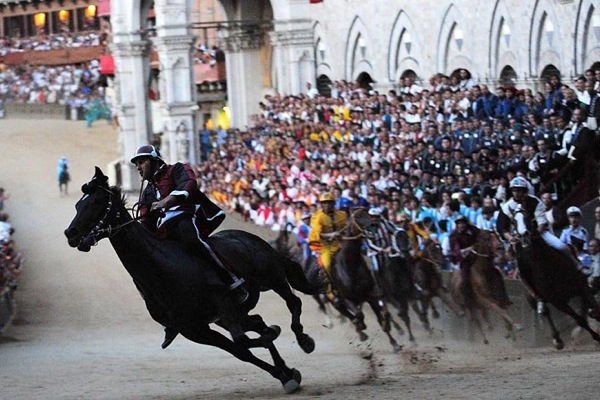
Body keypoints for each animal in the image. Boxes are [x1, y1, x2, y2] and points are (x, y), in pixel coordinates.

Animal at [63, 166, 322, 394]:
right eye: (78, 204)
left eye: (96, 202)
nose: (71, 234)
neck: (166, 270)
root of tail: (249, 238)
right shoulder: (195, 329)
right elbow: (242, 350)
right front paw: (286, 374)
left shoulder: (223, 306)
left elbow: (243, 341)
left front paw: (281, 349)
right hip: (236, 311)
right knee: (257, 321)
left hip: (272, 278)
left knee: (293, 303)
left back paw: (304, 340)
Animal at [510, 211, 600, 348]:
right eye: (514, 221)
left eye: (528, 217)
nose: (524, 236)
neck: (550, 267)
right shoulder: (558, 302)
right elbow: (580, 320)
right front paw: (596, 336)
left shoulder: (582, 287)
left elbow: (594, 307)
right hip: (531, 297)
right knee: (546, 312)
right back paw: (557, 339)